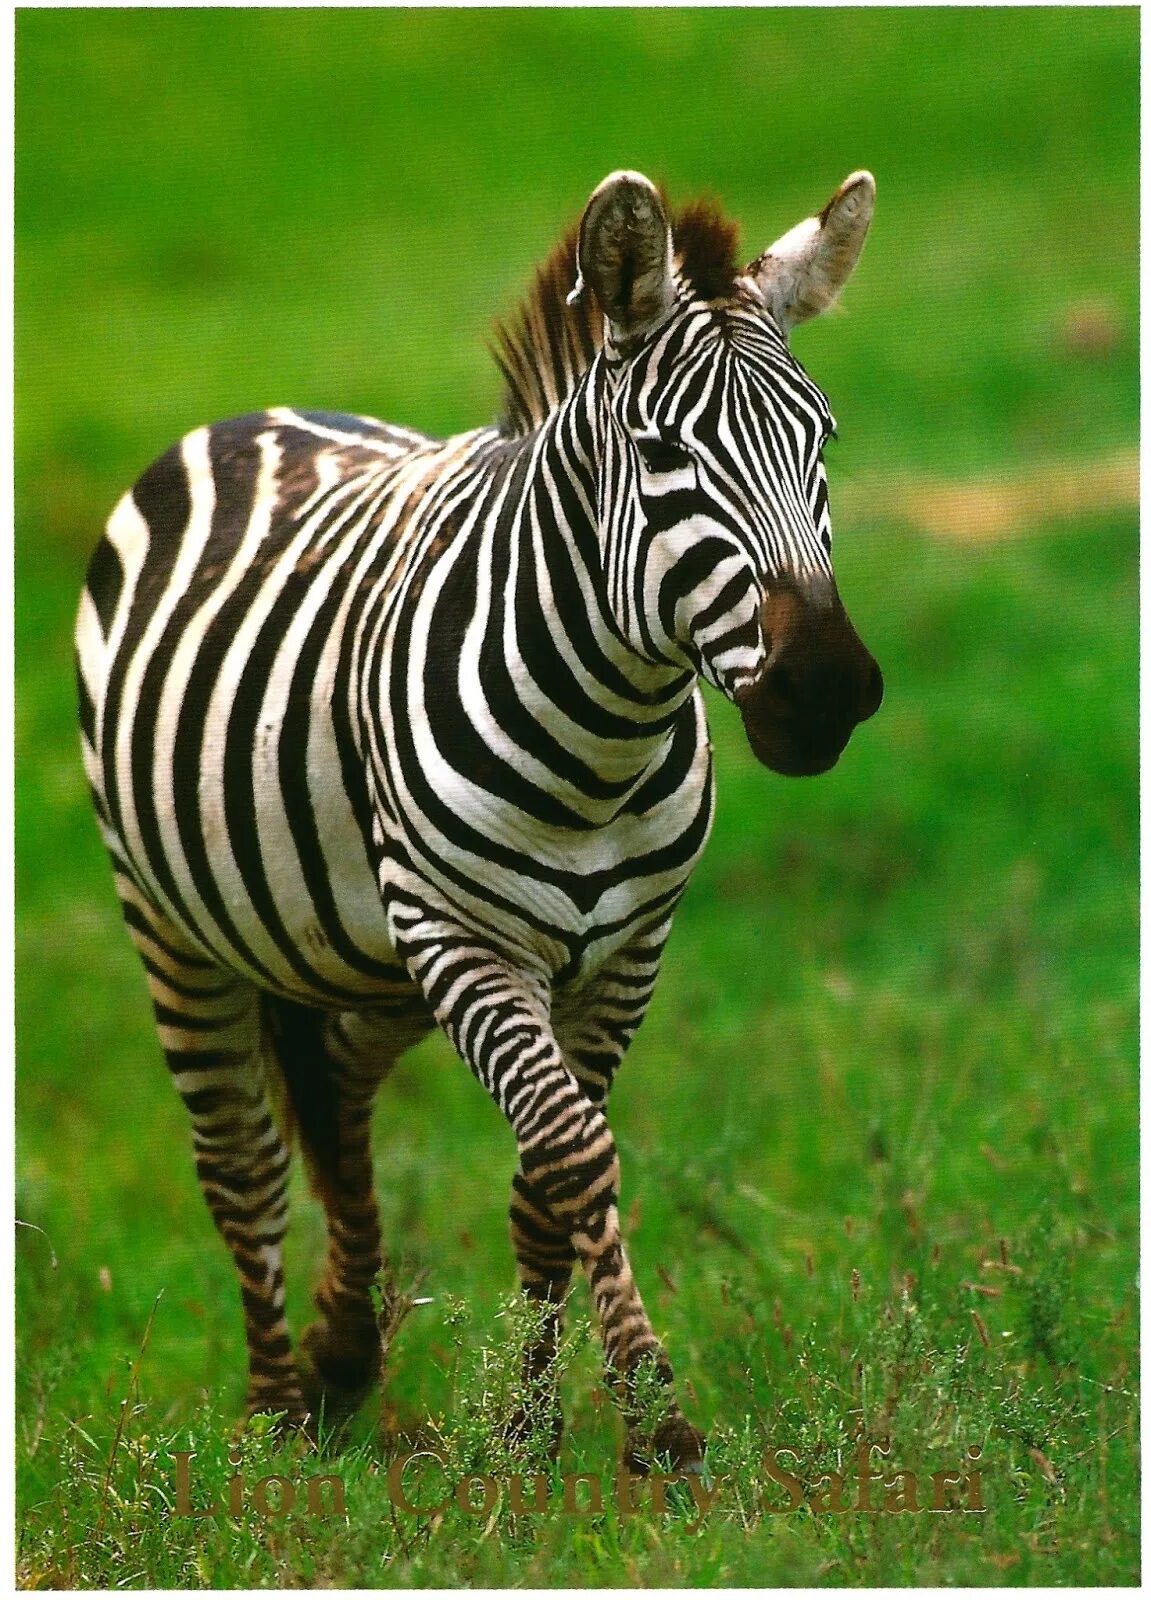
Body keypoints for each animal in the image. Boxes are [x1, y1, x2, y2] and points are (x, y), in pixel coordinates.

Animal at [75, 168, 882, 1471]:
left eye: (822, 441)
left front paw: (528, 1422)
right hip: (179, 922)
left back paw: (343, 1354)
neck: (601, 745)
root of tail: (256, 415)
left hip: (368, 946)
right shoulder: (464, 939)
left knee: (335, 1077)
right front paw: (650, 1416)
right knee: (241, 1161)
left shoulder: (623, 954)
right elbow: (572, 1151)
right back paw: (275, 1417)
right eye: (661, 454)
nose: (823, 692)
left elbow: (543, 1178)